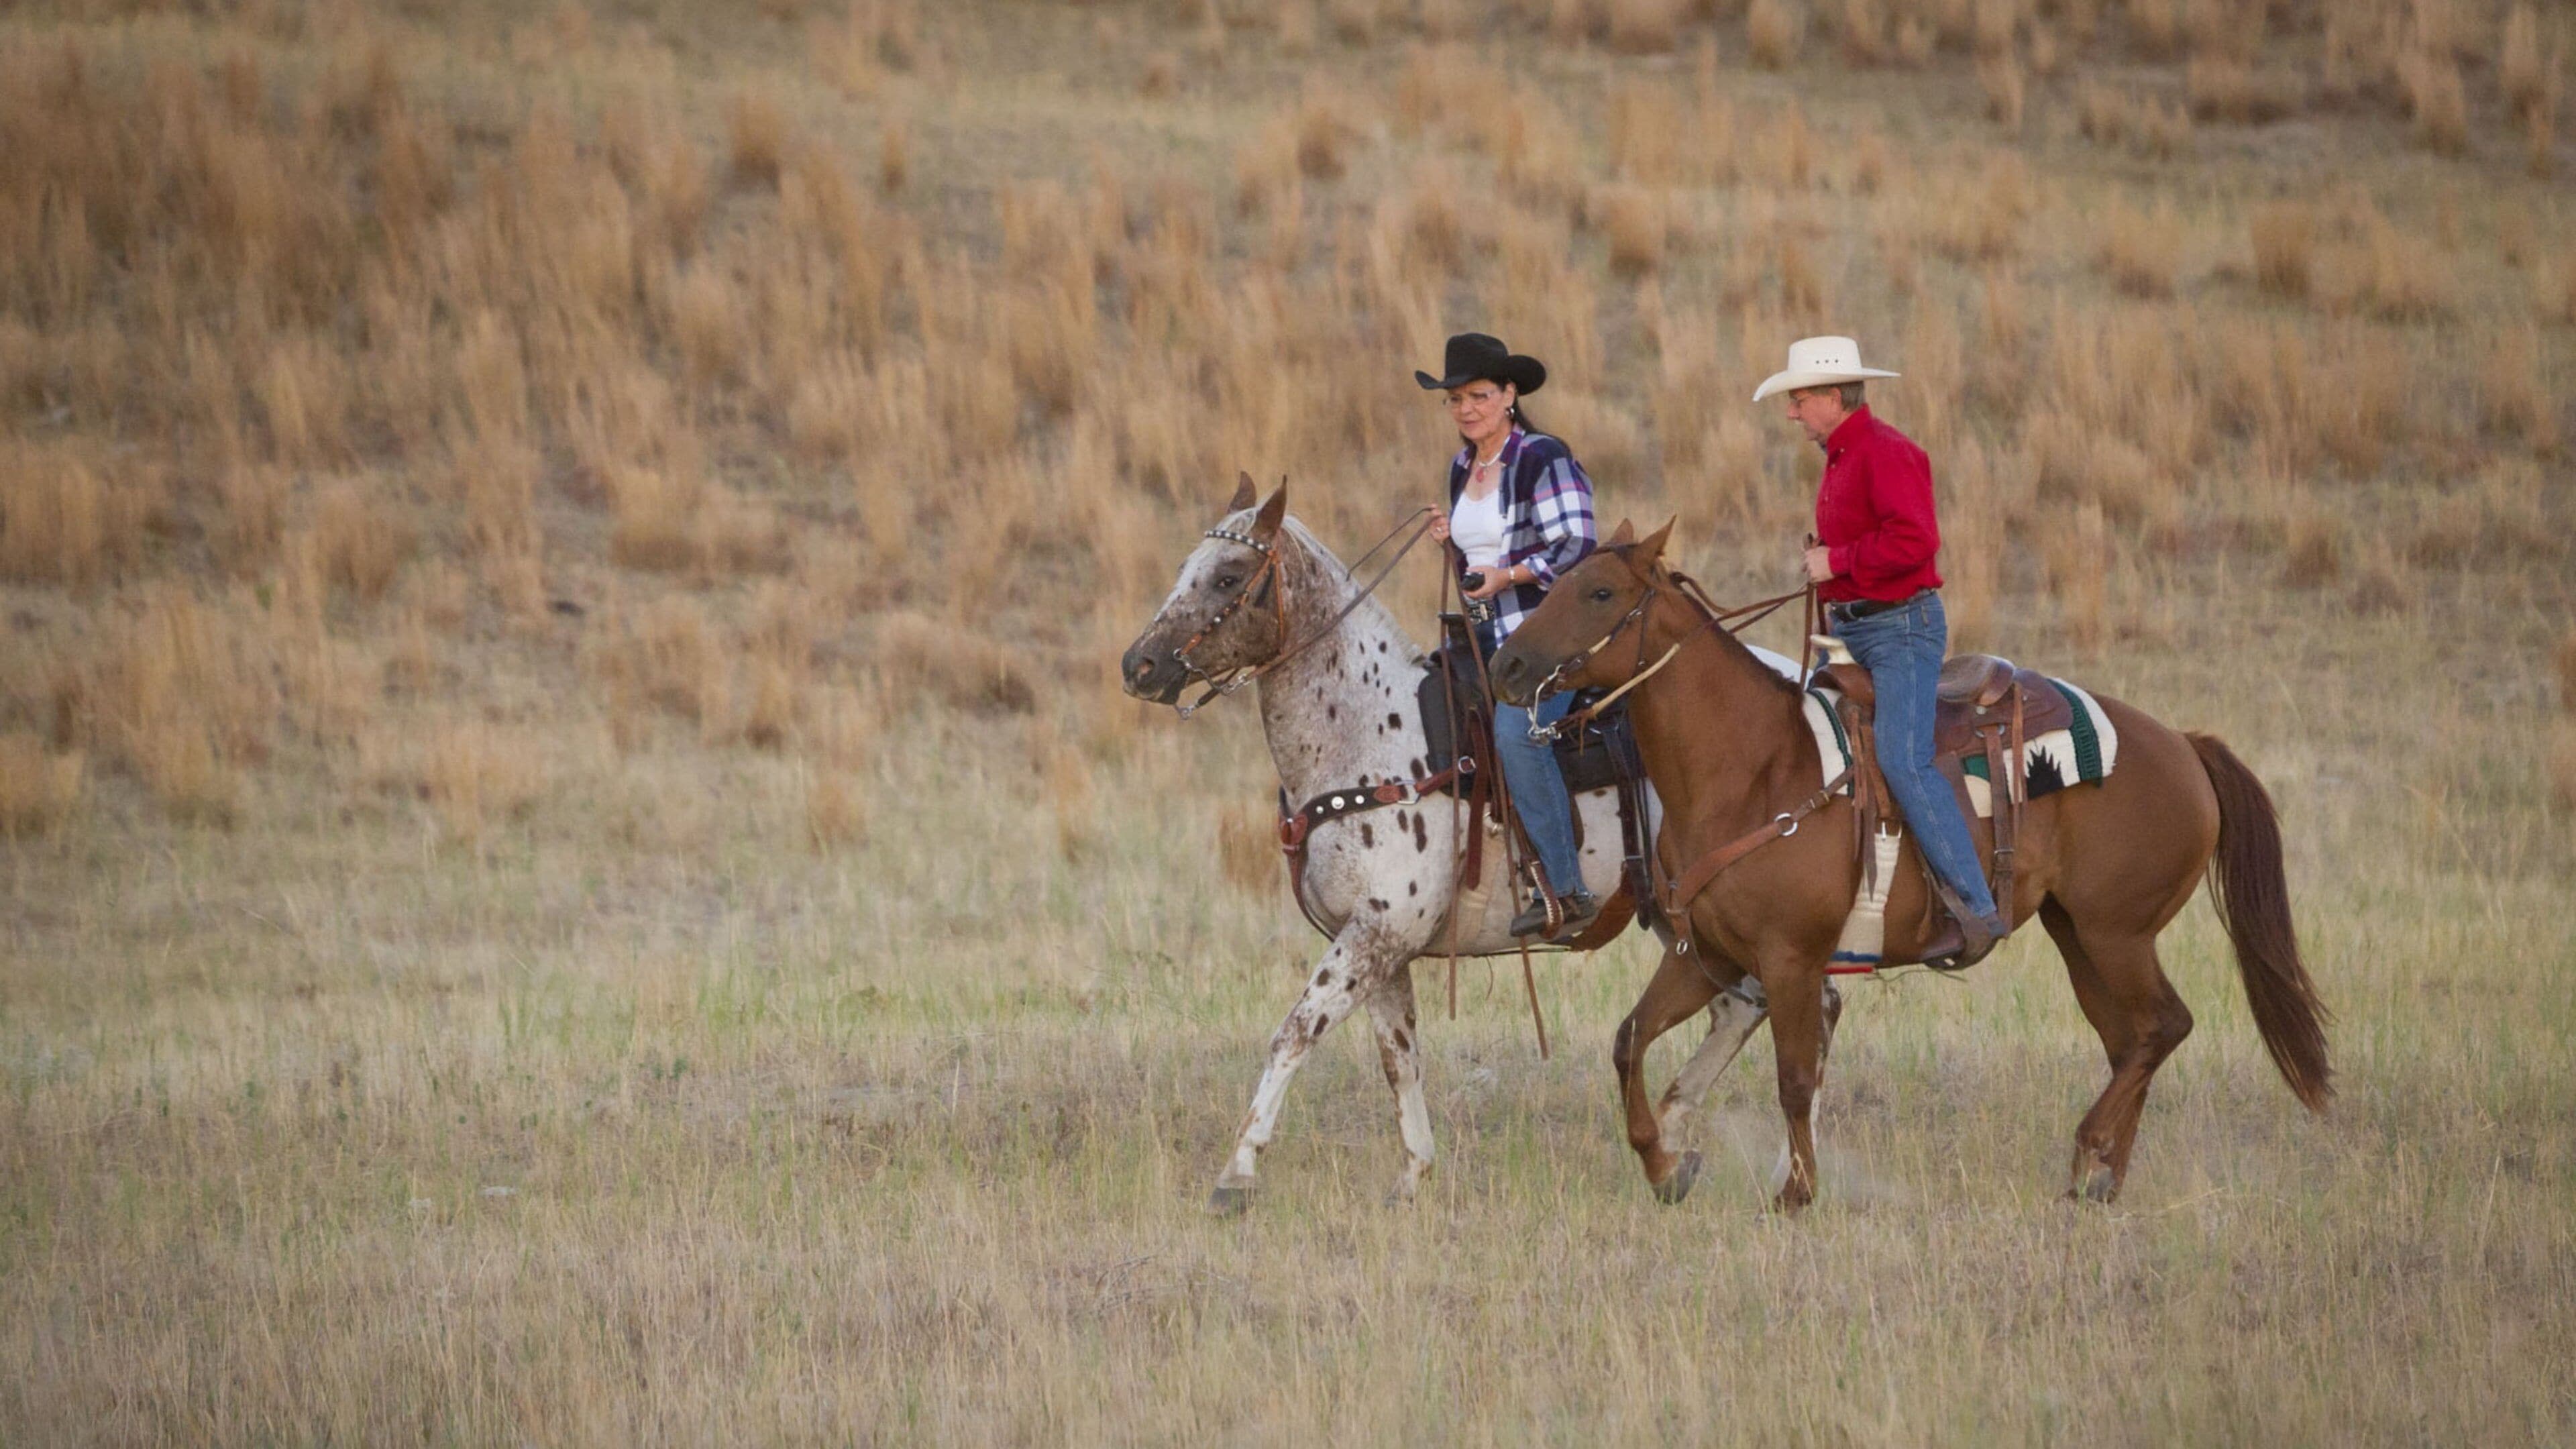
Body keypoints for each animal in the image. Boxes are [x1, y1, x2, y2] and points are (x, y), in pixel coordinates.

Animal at [1120, 478, 1685, 1213]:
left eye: (1229, 576)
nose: (1139, 664)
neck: (1371, 739)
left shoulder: (1377, 934)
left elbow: (1293, 1033)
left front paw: (1236, 1175)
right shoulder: (1380, 949)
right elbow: (1400, 1059)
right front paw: (1413, 1176)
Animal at [1487, 520, 2333, 1210]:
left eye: (1600, 592)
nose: (1508, 665)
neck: (1752, 771)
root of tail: (2185, 745)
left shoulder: (1791, 960)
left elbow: (1794, 1077)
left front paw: (1797, 1192)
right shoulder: (1706, 955)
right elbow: (1631, 1039)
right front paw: (1668, 1168)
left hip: (2116, 932)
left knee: (2164, 1025)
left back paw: (2090, 1151)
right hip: (2081, 936)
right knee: (2134, 1039)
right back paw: (2098, 1180)